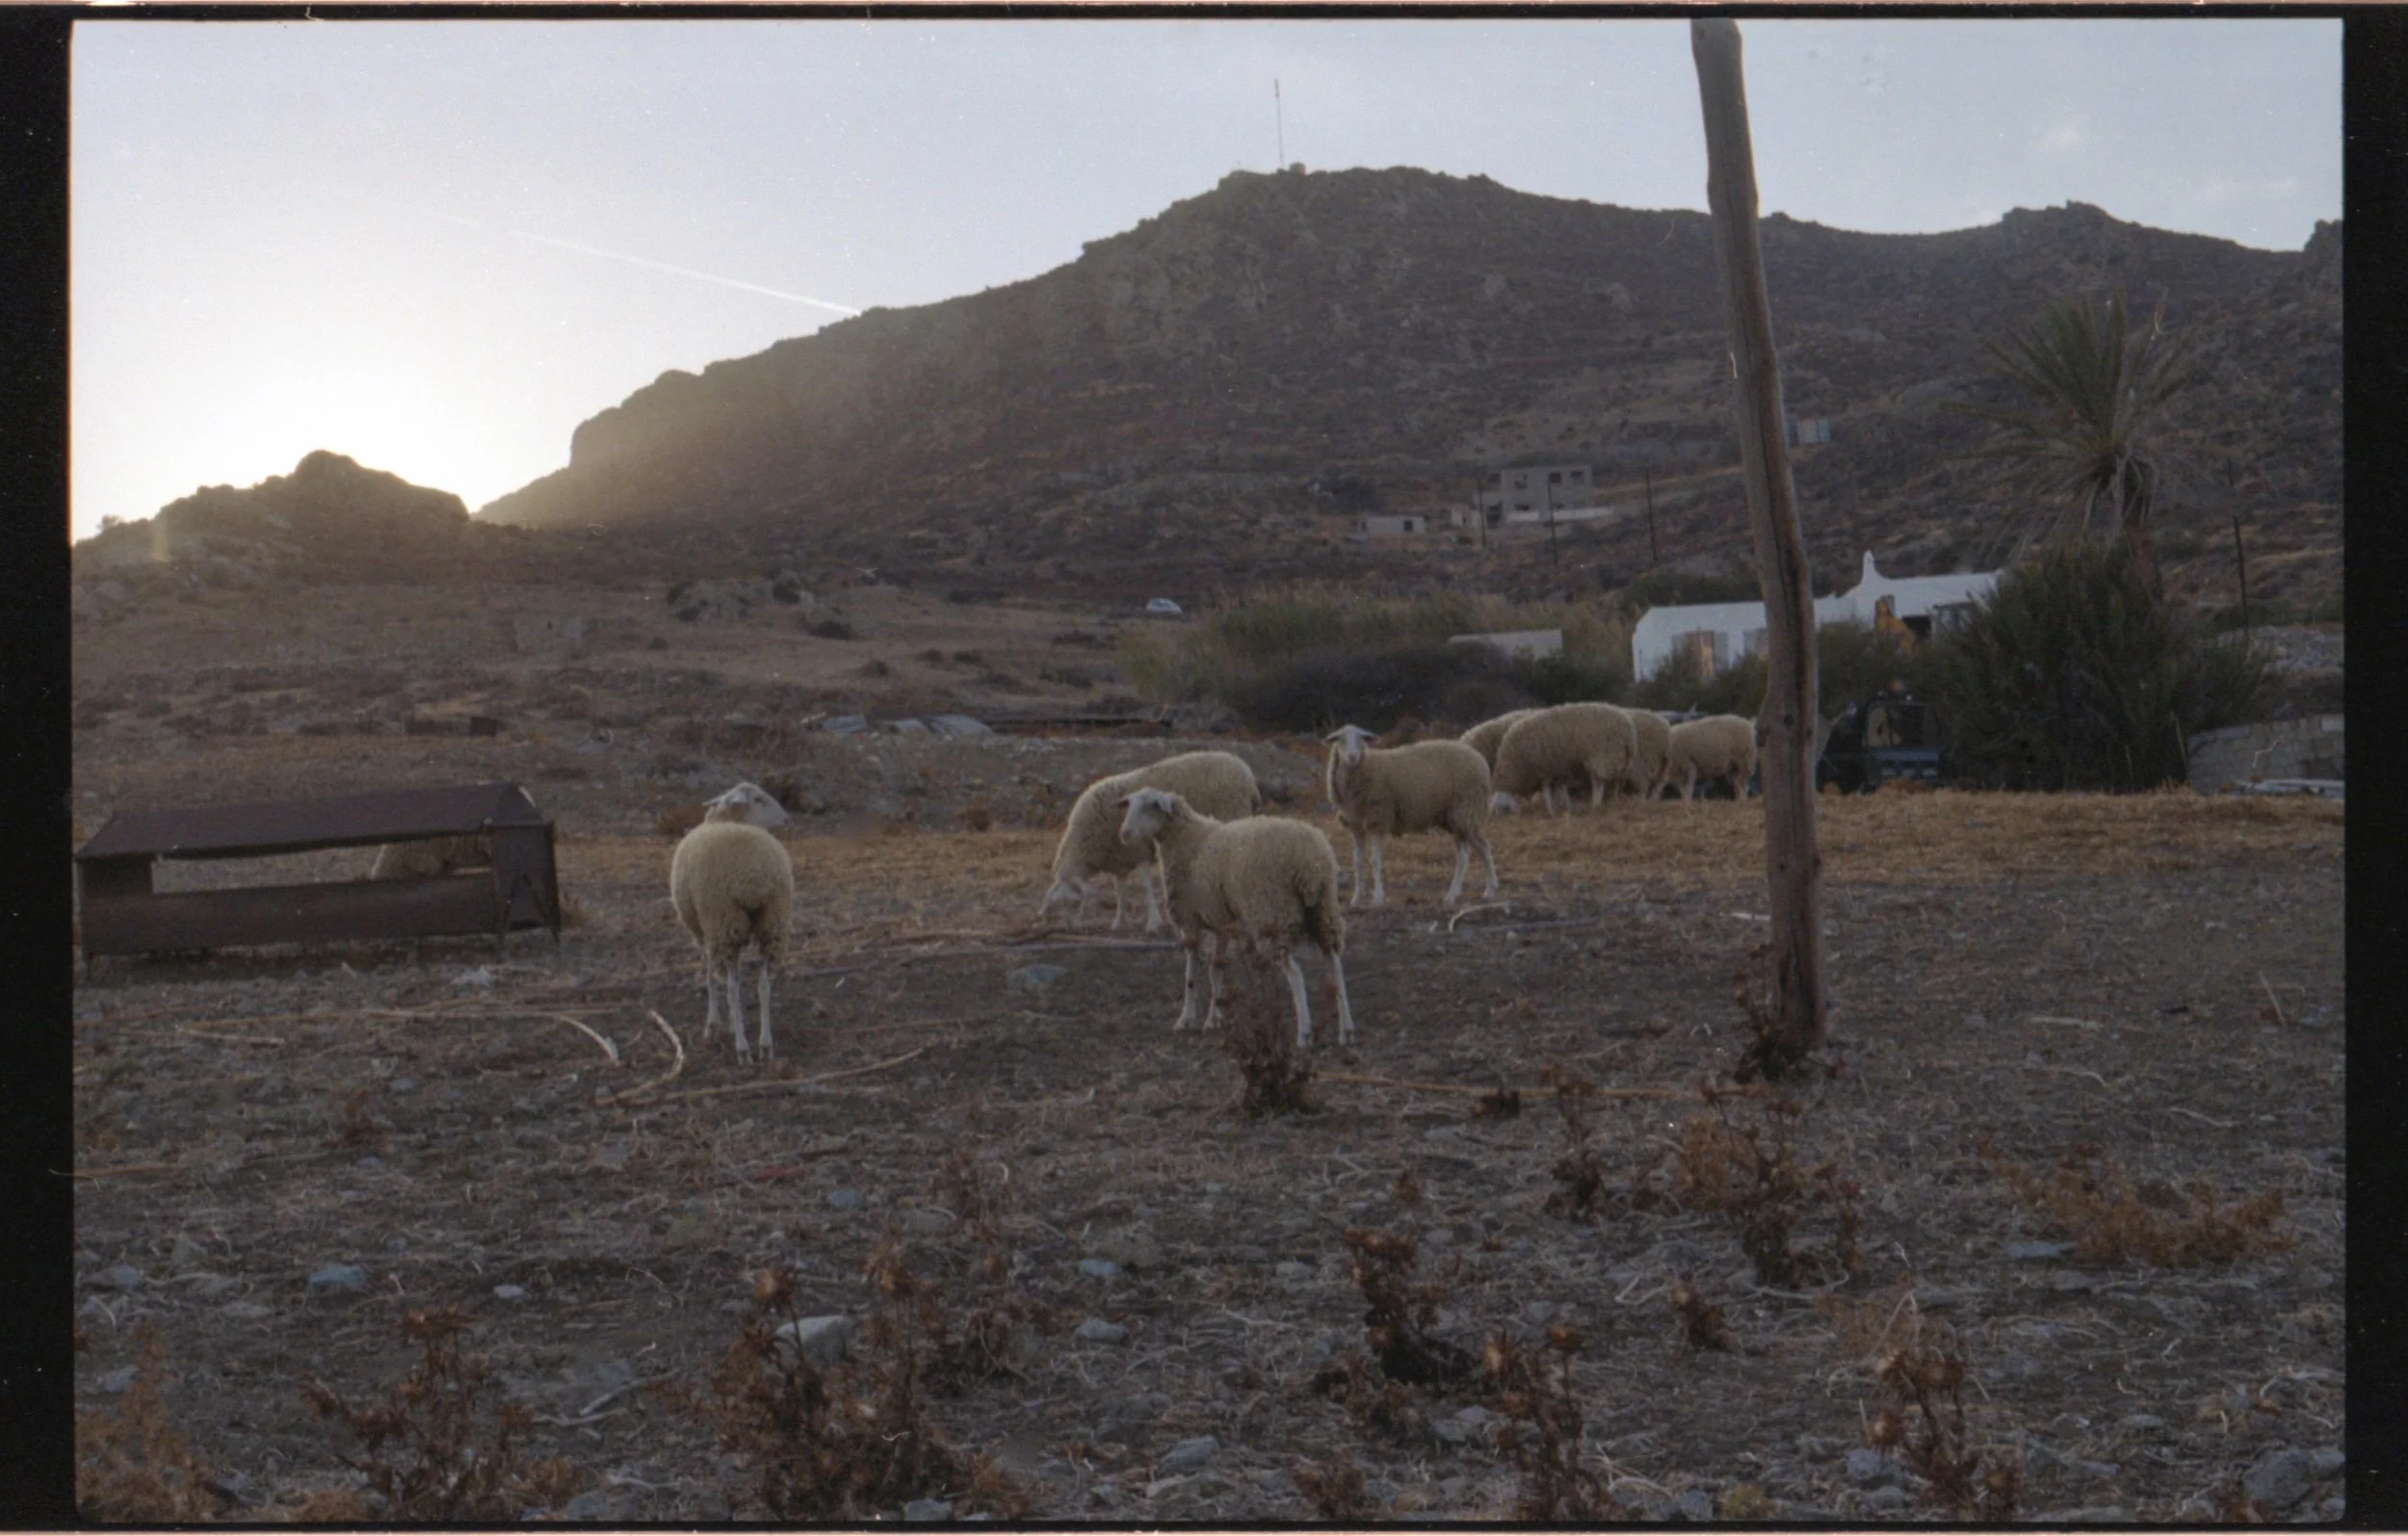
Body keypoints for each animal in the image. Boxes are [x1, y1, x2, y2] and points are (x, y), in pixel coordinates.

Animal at [671, 786, 795, 1065]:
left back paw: (743, 1049)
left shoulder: (705, 931)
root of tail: (754, 877)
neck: (724, 819)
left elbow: (710, 976)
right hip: (772, 923)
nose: (786, 819)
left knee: (731, 988)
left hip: (723, 922)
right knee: (764, 985)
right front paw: (730, 1020)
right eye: (759, 799)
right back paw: (765, 1044)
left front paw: (714, 1024)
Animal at [1039, 750, 1261, 930]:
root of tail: (1248, 774)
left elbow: (1146, 887)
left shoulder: (1139, 851)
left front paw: (1153, 923)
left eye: (1076, 903)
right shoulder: (1119, 858)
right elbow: (1121, 892)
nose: (1071, 929)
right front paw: (1118, 922)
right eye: (1058, 907)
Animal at [1116, 788, 1354, 1049]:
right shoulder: (1221, 920)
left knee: (1296, 974)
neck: (1189, 839)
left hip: (1272, 913)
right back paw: (1346, 1031)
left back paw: (1304, 1035)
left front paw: (1186, 1019)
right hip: (1324, 911)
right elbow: (1217, 967)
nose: (1124, 833)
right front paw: (1214, 1018)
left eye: (1152, 805)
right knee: (1335, 964)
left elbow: (1191, 973)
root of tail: (1312, 863)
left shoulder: (1190, 918)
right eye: (1129, 804)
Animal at [1322, 724, 1498, 906]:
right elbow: (1358, 861)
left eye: (1361, 739)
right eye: (1340, 739)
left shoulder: (1378, 819)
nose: (1352, 756)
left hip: (1468, 809)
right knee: (1463, 856)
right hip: (1455, 818)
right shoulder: (1356, 825)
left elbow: (1375, 860)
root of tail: (1479, 758)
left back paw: (1490, 891)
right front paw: (1356, 898)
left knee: (1484, 847)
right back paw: (1452, 894)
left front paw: (1377, 898)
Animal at [1491, 703, 1638, 815]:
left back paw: (1595, 805)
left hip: (1602, 757)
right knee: (1613, 782)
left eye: (1501, 808)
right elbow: (1560, 790)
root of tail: (1628, 729)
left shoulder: (1545, 771)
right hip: (1616, 760)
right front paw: (1565, 807)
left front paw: (1551, 811)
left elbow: (1548, 793)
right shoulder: (1557, 771)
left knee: (1598, 784)